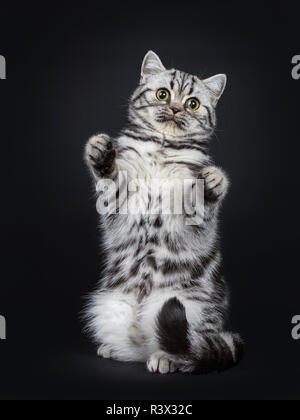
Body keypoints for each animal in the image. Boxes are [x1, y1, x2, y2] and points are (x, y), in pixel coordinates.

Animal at [84, 50, 244, 372]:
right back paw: (114, 348)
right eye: (162, 94)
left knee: (184, 345)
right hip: (110, 305)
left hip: (190, 308)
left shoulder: (191, 222)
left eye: (192, 103)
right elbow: (110, 180)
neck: (163, 147)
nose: (174, 109)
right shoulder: (119, 204)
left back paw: (165, 358)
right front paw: (102, 155)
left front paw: (211, 185)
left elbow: (200, 204)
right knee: (139, 347)